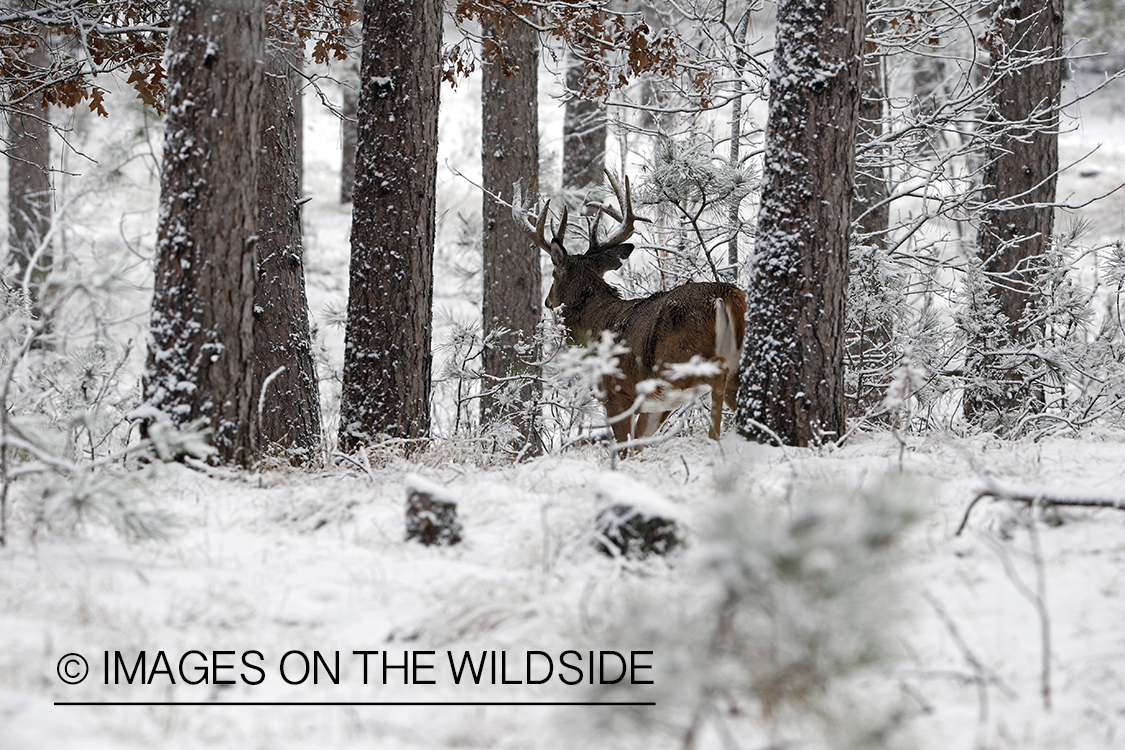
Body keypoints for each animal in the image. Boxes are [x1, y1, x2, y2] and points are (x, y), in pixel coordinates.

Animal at [515, 172, 747, 452]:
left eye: (553, 273)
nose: (548, 301)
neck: (591, 323)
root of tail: (726, 294)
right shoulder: (656, 404)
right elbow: (638, 445)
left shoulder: (616, 390)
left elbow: (624, 447)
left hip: (678, 358)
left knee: (719, 370)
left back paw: (714, 440)